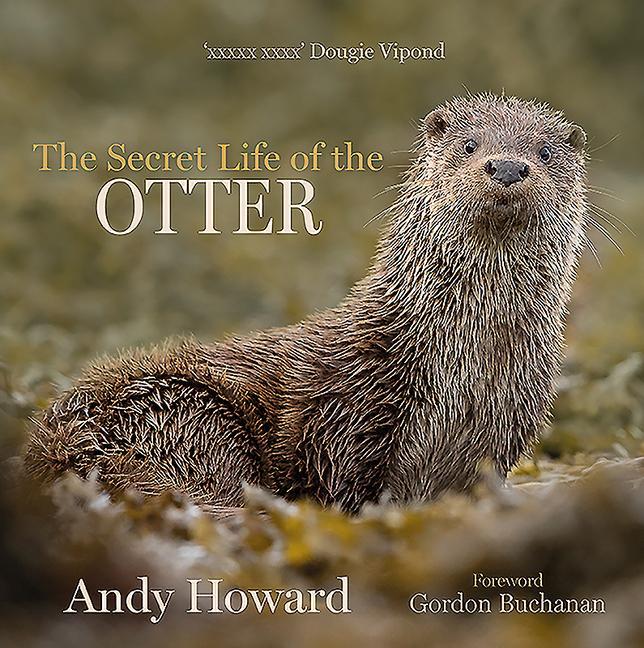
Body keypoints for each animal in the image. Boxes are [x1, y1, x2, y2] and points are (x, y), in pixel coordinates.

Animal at [25, 94, 588, 514]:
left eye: (543, 152)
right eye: (469, 144)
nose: (508, 166)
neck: (468, 367)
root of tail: (55, 445)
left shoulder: (504, 431)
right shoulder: (349, 418)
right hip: (189, 414)